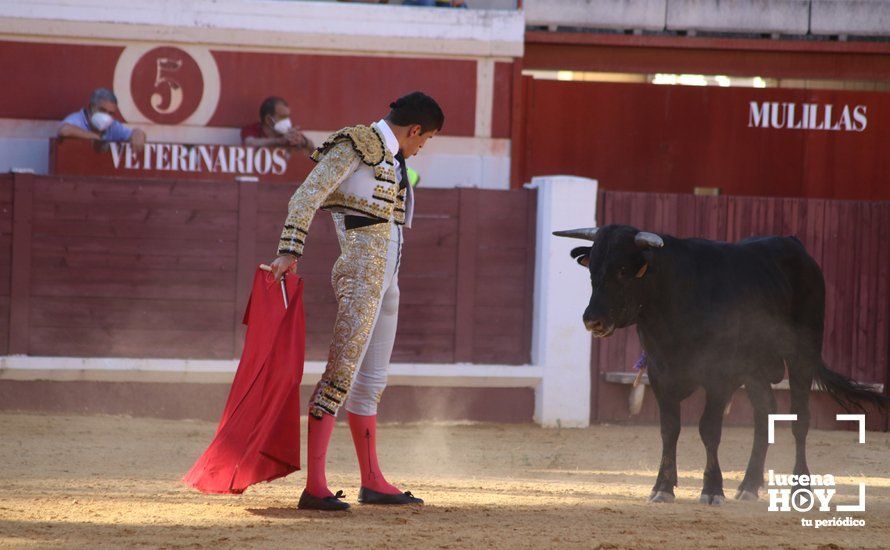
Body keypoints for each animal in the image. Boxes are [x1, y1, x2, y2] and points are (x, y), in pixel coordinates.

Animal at [552, 225, 884, 508]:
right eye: (592, 270)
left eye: (622, 270)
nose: (593, 320)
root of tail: (795, 245)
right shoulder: (660, 375)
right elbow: (669, 429)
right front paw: (663, 487)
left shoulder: (719, 377)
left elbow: (708, 429)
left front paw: (712, 489)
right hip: (755, 369)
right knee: (765, 414)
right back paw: (749, 485)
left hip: (803, 352)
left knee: (799, 419)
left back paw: (799, 489)